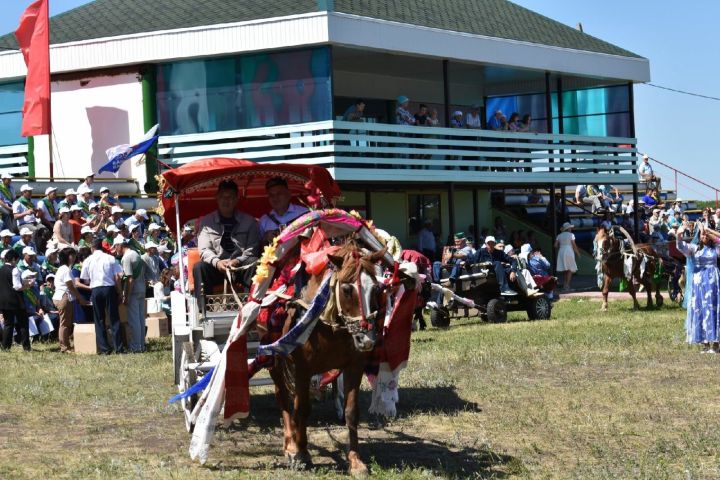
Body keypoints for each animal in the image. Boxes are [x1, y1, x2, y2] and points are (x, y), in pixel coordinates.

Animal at [266, 240, 390, 476]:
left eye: (377, 288)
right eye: (347, 289)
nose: (366, 339)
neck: (327, 325)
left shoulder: (354, 366)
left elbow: (351, 411)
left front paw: (355, 461)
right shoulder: (303, 369)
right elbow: (302, 409)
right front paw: (302, 454)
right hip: (275, 362)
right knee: (283, 398)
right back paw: (290, 445)